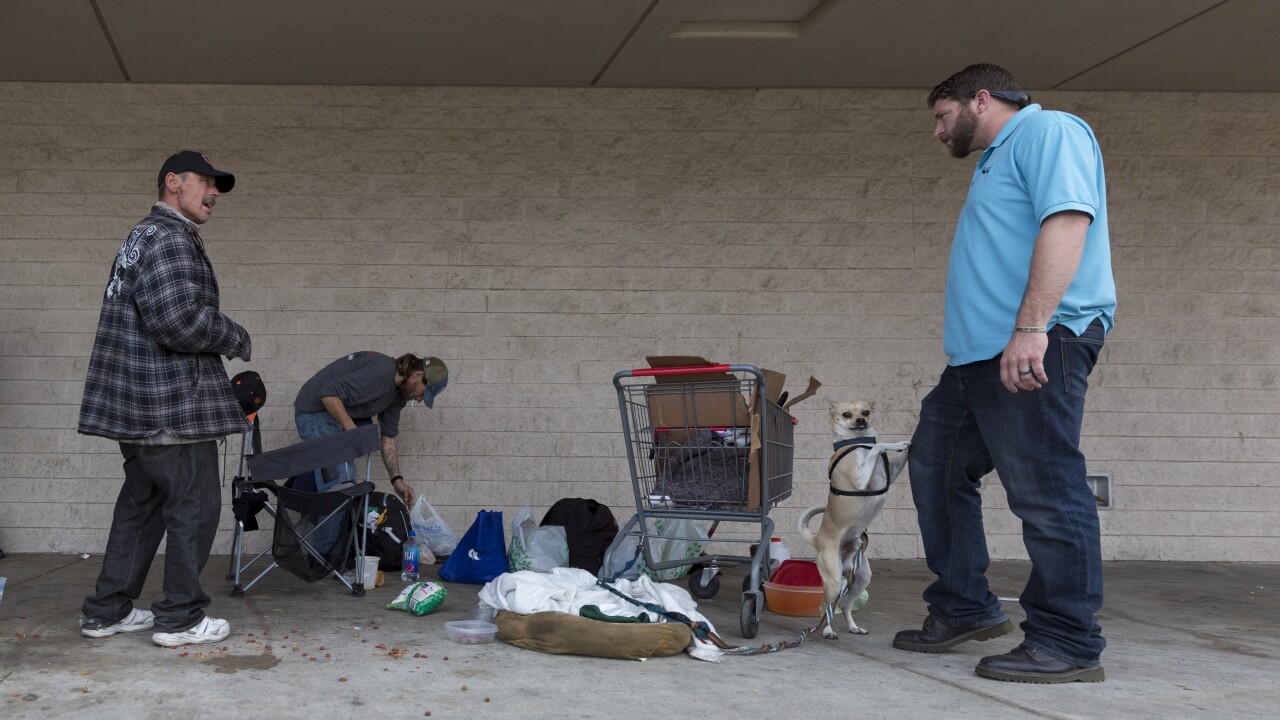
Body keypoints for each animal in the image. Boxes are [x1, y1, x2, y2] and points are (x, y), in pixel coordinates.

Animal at [798, 397, 911, 638]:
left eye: (866, 412)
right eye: (847, 414)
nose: (860, 421)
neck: (858, 443)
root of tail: (817, 539)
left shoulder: (891, 472)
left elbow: (890, 454)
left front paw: (909, 442)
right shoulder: (861, 478)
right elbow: (879, 445)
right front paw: (895, 444)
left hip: (861, 578)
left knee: (844, 603)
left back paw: (853, 626)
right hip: (833, 580)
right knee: (824, 608)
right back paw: (827, 630)